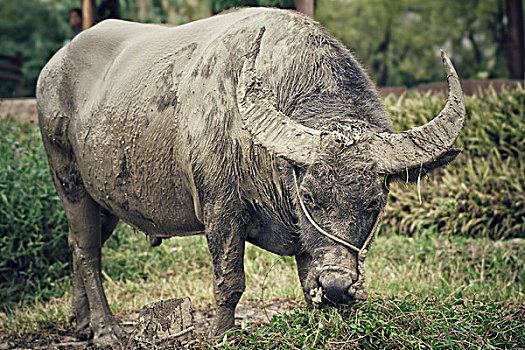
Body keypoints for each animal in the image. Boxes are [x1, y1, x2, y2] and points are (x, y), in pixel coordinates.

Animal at [35, 6, 462, 344]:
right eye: (309, 197)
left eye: (375, 201)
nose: (339, 285)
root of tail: (53, 69)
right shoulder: (220, 209)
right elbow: (229, 278)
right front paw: (222, 334)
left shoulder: (305, 239)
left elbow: (307, 279)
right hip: (68, 179)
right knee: (88, 251)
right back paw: (106, 330)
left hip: (105, 199)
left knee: (77, 245)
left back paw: (82, 324)